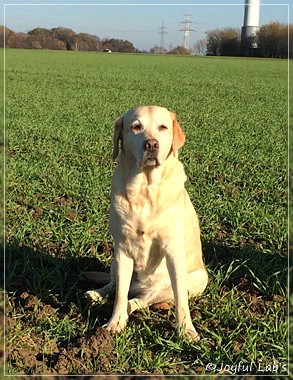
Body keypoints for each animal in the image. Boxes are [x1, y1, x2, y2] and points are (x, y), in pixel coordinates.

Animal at [85, 104, 208, 342]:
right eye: (136, 127)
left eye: (163, 127)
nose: (151, 144)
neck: (145, 188)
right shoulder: (122, 249)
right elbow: (119, 294)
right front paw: (114, 323)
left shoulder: (173, 251)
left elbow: (181, 299)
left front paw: (186, 330)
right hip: (114, 262)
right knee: (116, 286)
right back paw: (96, 294)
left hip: (198, 278)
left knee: (141, 300)